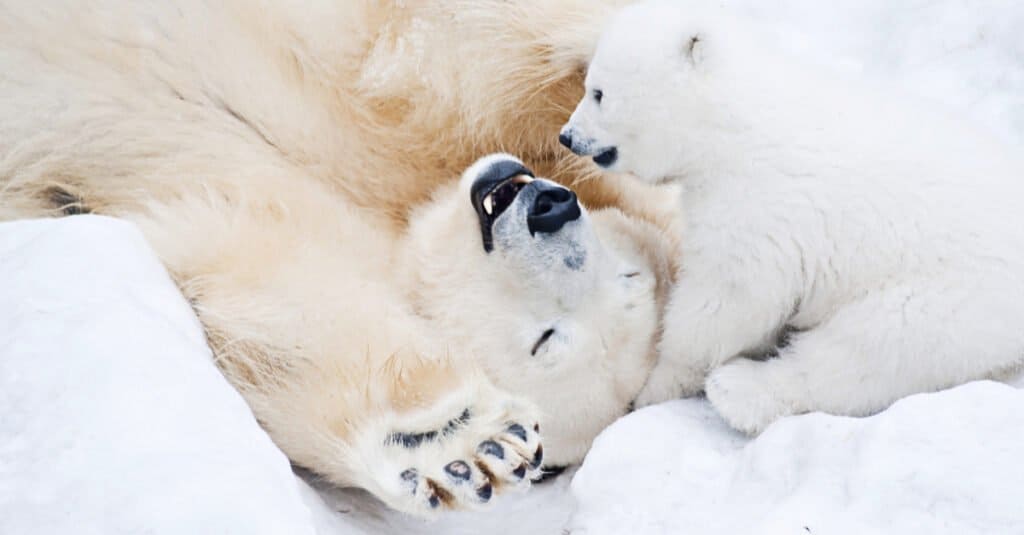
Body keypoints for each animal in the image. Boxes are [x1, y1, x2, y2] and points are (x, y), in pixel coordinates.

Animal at [0, 0, 671, 516]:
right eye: (629, 271)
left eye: (546, 338)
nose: (549, 209)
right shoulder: (378, 101)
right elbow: (442, 51)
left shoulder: (245, 215)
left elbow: (274, 306)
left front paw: (457, 441)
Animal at [561, 0, 1024, 432]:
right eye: (588, 85)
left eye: (598, 92)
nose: (568, 136)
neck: (734, 125)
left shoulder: (756, 207)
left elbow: (726, 300)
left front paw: (655, 387)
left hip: (951, 296)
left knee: (871, 348)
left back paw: (737, 390)